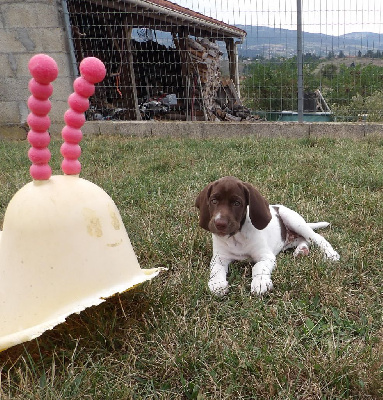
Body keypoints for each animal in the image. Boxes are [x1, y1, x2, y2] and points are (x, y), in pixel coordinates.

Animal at [196, 177, 340, 296]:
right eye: (214, 201)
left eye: (237, 203)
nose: (219, 224)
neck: (236, 237)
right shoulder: (219, 257)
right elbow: (216, 269)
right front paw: (217, 284)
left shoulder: (266, 256)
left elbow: (258, 267)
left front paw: (260, 282)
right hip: (289, 240)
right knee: (303, 240)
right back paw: (301, 250)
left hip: (293, 220)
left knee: (316, 238)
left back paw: (330, 254)